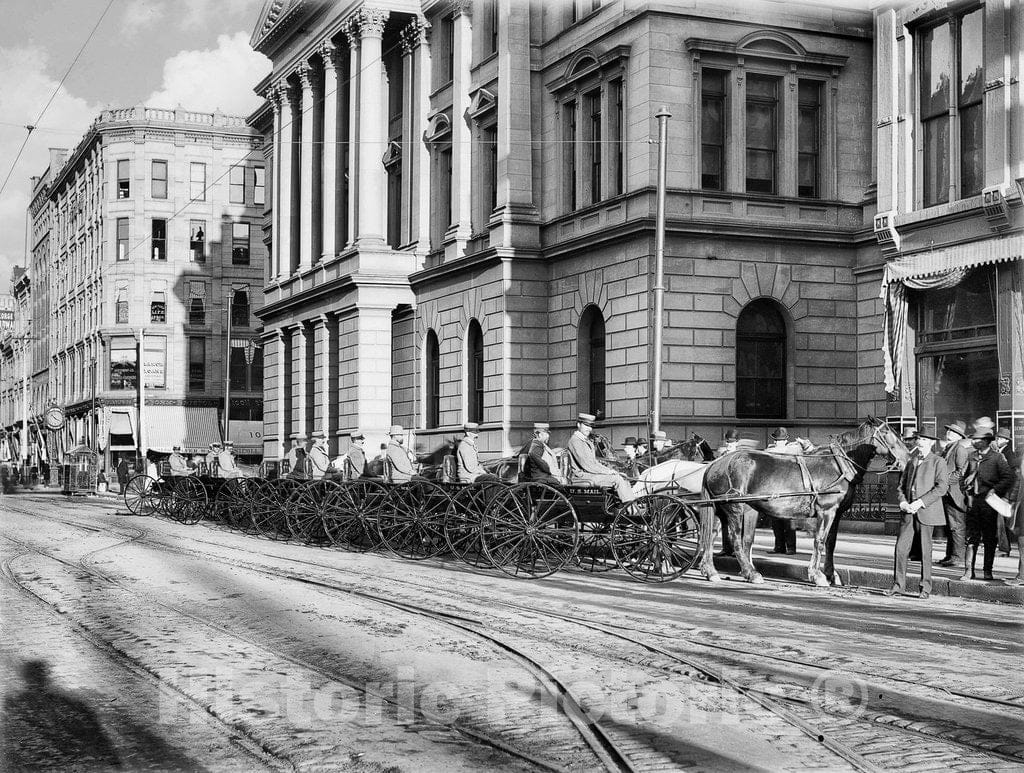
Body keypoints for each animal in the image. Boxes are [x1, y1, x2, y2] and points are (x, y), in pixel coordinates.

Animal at [696, 417, 905, 585]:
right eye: (887, 432)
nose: (906, 456)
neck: (839, 464)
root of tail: (716, 464)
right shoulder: (826, 510)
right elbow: (820, 540)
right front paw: (817, 575)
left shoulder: (837, 513)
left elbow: (831, 543)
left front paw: (831, 574)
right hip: (735, 508)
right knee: (734, 539)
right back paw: (750, 572)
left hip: (723, 509)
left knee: (711, 535)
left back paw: (711, 570)